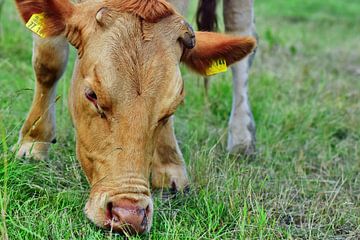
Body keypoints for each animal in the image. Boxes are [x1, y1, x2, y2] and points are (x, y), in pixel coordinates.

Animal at [14, 0, 256, 234]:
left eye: (172, 108)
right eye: (92, 95)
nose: (129, 215)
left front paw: (170, 167)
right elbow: (49, 58)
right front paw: (35, 140)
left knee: (239, 28)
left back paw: (242, 137)